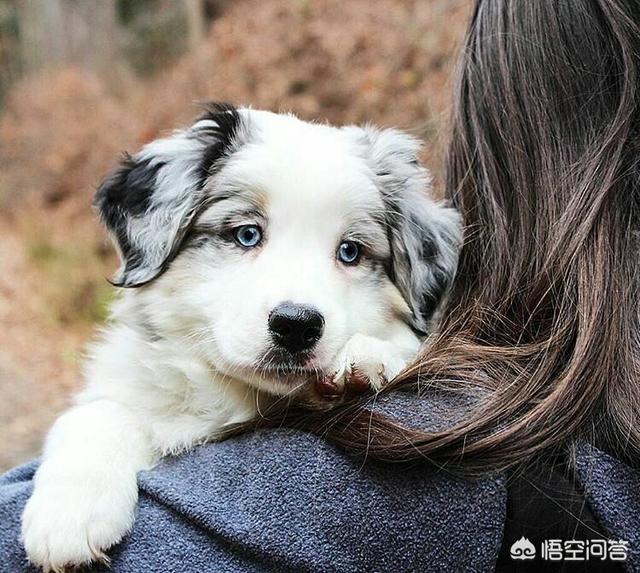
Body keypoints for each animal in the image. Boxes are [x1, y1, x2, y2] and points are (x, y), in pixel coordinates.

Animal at [21, 104, 460, 568]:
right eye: (247, 234)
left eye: (350, 251)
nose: (297, 325)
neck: (237, 397)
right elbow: (98, 412)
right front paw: (68, 513)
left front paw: (369, 354)